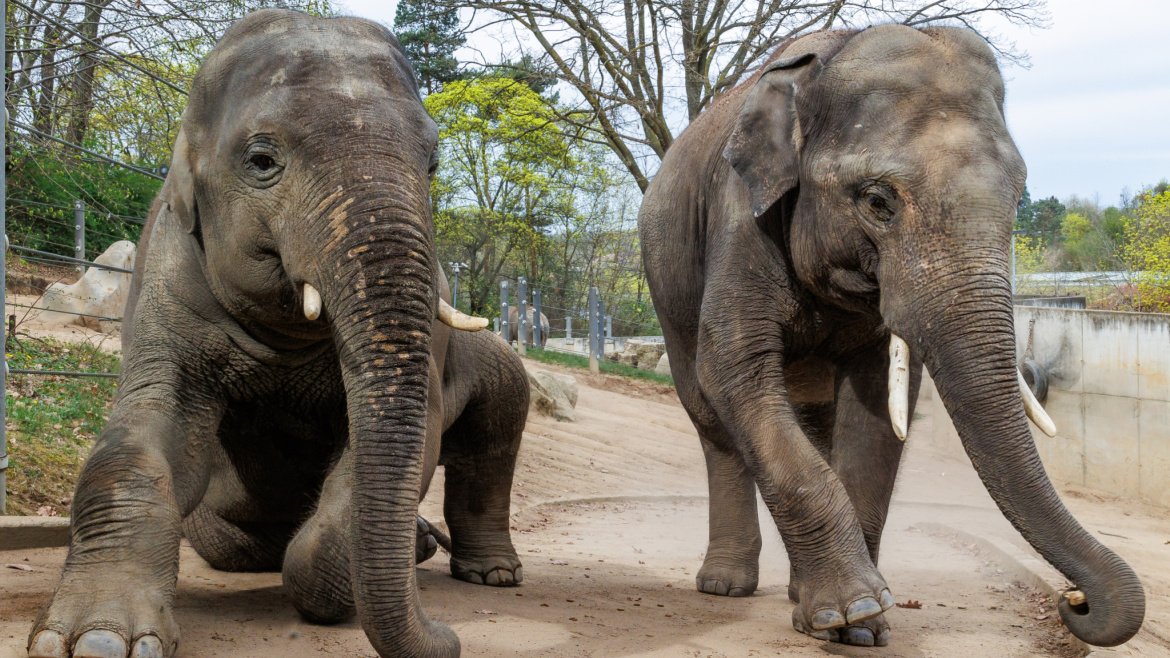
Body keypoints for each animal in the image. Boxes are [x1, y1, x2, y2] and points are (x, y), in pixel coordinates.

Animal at [29, 10, 528, 655]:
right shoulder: (164, 273)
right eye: (262, 160)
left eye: (434, 165)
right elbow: (146, 438)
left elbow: (401, 450)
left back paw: (490, 573)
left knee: (500, 417)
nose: (452, 638)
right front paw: (96, 639)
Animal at [641, 24, 1141, 646]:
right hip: (667, 284)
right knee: (711, 417)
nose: (1073, 599)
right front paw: (853, 610)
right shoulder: (739, 220)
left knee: (814, 418)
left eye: (1018, 197)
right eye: (878, 201)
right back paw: (725, 586)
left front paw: (855, 628)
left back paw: (796, 595)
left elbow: (877, 402)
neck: (829, 57)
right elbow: (734, 366)